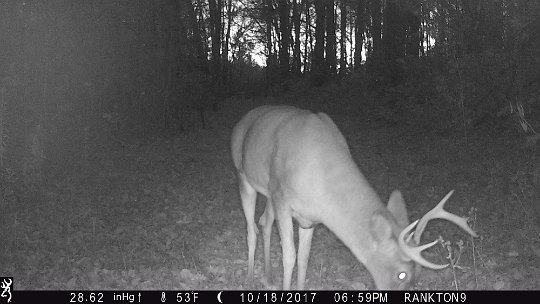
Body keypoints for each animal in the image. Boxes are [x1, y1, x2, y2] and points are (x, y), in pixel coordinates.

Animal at [231, 105, 476, 288]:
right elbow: (289, 255)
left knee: (264, 222)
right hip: (245, 175)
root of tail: (244, 119)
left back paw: (268, 278)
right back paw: (250, 279)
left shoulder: (308, 218)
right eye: (401, 274)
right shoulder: (282, 197)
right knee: (251, 229)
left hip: (269, 193)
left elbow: (304, 258)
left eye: (419, 274)